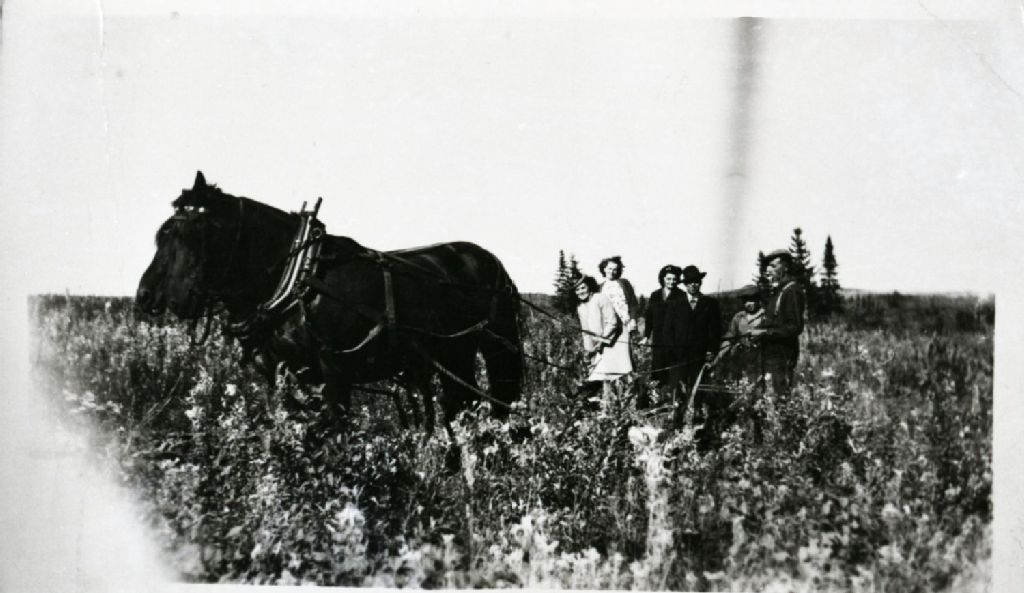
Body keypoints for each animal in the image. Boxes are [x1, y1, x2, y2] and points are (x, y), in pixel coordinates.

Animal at [136, 171, 524, 437]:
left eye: (189, 233)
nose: (145, 295)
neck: (299, 281)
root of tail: (490, 261)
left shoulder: (336, 372)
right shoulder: (280, 375)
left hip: (479, 350)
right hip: (454, 356)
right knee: (463, 406)